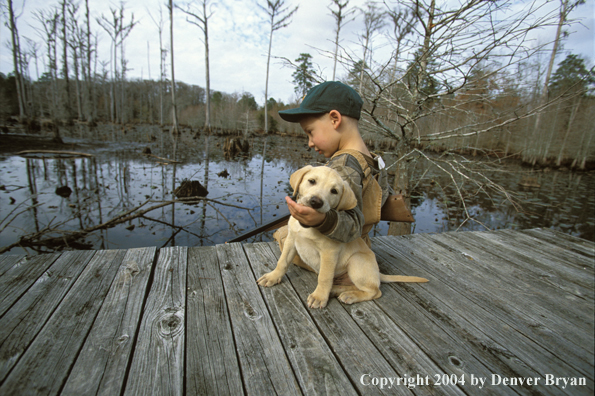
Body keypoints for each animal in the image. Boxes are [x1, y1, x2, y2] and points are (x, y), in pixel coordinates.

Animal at [258, 166, 428, 308]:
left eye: (334, 191)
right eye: (311, 181)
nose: (316, 202)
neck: (307, 227)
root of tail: (377, 273)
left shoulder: (329, 252)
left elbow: (324, 277)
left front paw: (319, 297)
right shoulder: (291, 241)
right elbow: (282, 262)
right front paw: (272, 277)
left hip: (356, 261)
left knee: (375, 291)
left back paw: (349, 295)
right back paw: (336, 290)